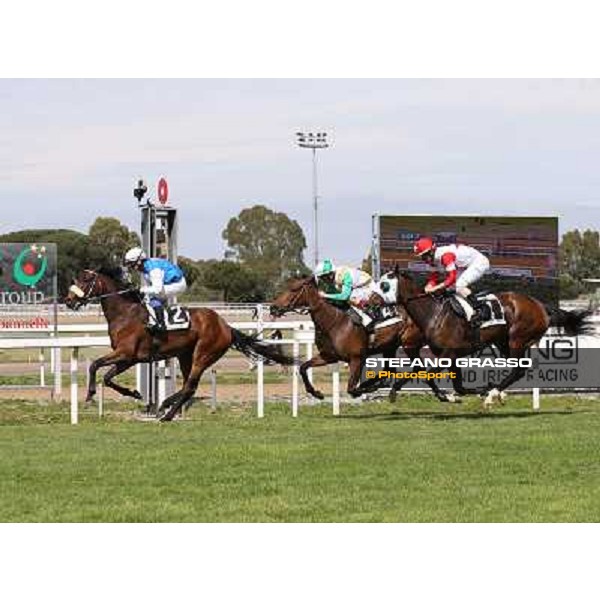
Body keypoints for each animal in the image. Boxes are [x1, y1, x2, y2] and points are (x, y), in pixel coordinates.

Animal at [65, 268, 296, 422]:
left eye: (86, 280)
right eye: (75, 279)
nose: (68, 301)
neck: (125, 314)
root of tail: (226, 326)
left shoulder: (126, 354)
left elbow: (95, 365)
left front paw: (90, 394)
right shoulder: (129, 358)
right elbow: (107, 376)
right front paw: (135, 394)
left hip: (203, 354)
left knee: (190, 386)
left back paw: (167, 412)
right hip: (185, 355)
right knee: (187, 386)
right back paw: (166, 406)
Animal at [270, 278, 452, 404]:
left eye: (293, 289)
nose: (273, 307)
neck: (334, 321)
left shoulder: (357, 358)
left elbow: (351, 388)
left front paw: (365, 388)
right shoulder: (328, 356)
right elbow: (303, 367)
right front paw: (317, 393)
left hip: (409, 344)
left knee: (419, 367)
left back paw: (439, 395)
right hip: (390, 346)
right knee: (391, 370)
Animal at [394, 270, 592, 406]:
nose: (404, 337)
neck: (433, 313)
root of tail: (540, 306)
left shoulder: (448, 354)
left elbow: (428, 374)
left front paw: (447, 396)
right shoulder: (452, 355)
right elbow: (455, 384)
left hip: (517, 340)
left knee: (518, 370)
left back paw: (491, 395)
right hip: (504, 342)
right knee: (518, 369)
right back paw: (493, 392)